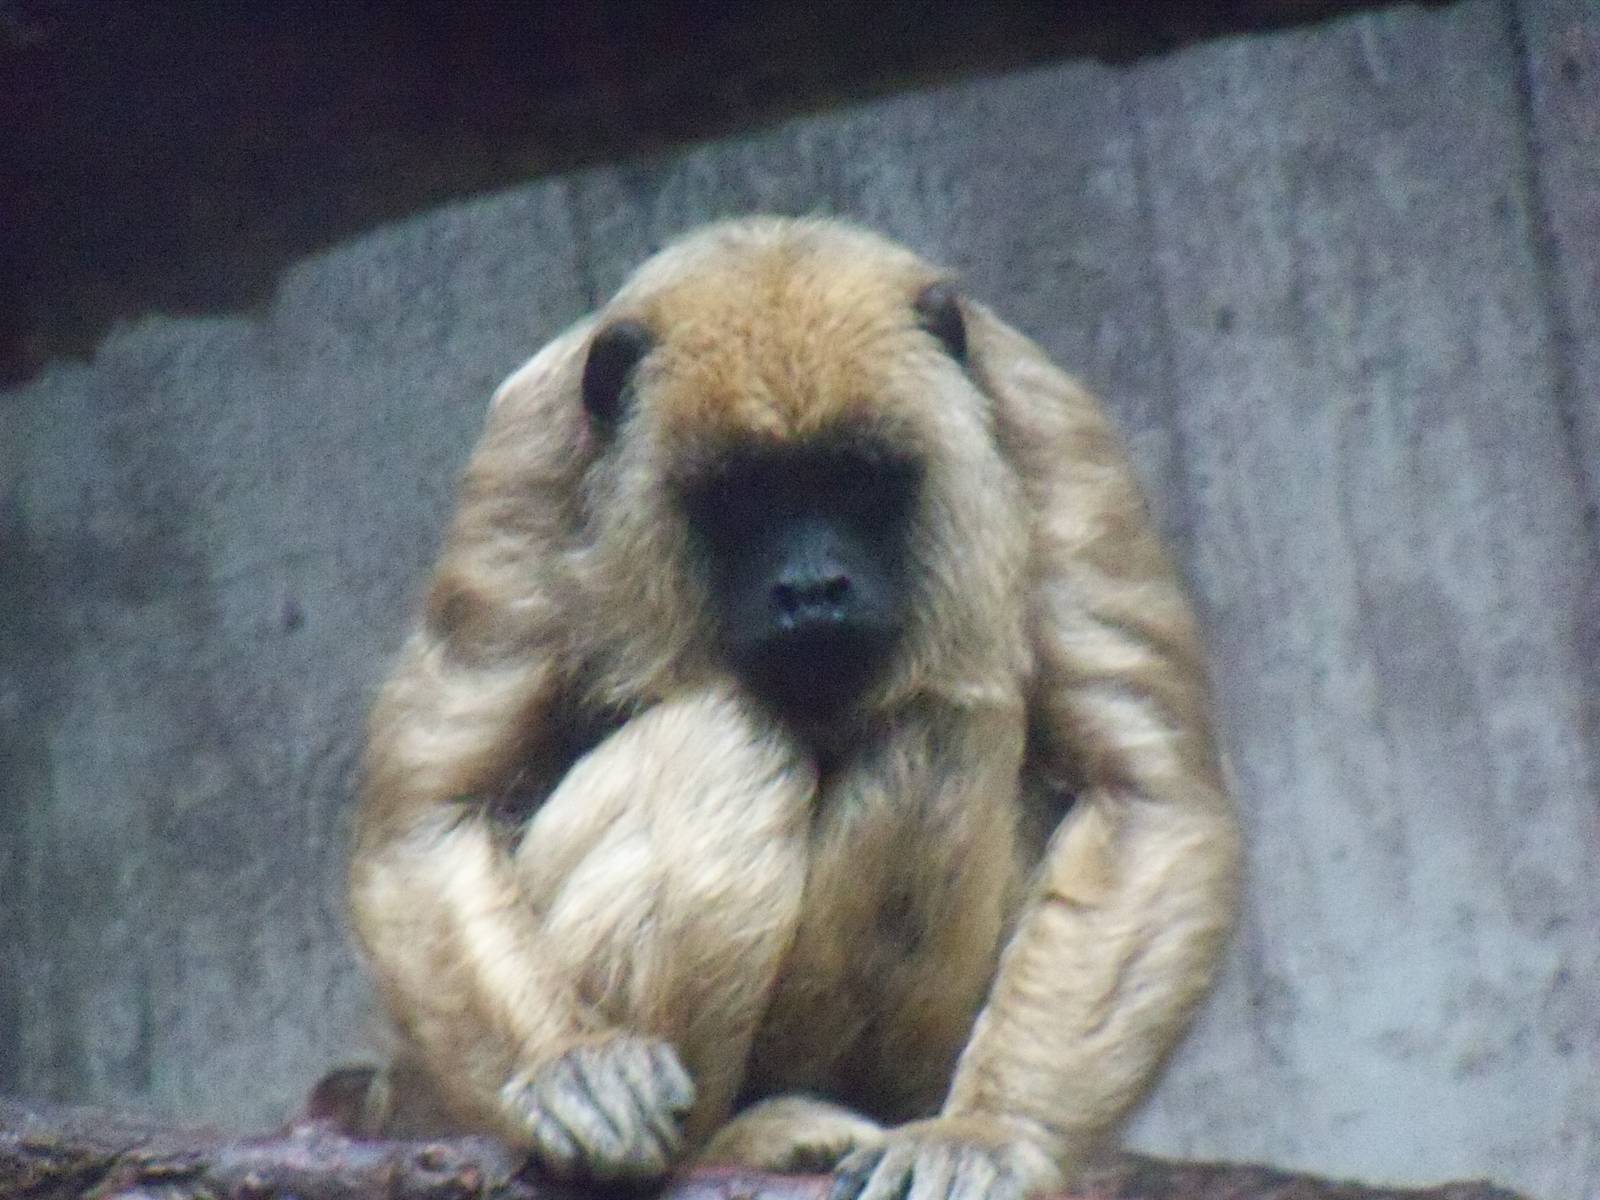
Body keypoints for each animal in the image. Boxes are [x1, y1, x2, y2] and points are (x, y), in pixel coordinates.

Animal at [348, 217, 1242, 1200]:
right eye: (750, 495)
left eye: (852, 480)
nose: (813, 587)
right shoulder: (526, 459)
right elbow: (430, 816)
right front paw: (571, 1065)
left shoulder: (1053, 431)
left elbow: (1146, 797)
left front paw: (986, 1127)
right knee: (720, 739)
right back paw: (723, 1143)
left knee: (936, 723)